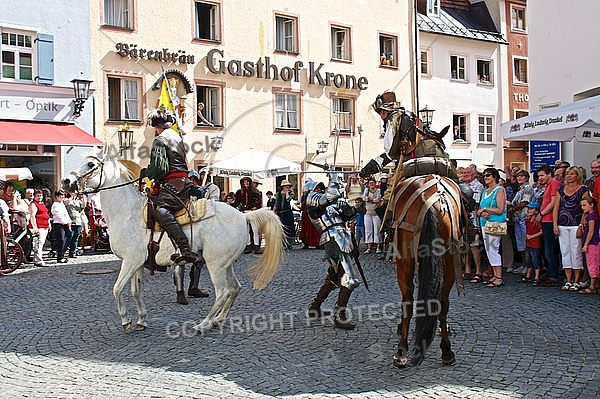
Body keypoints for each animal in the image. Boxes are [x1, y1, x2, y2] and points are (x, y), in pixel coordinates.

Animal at [70, 153, 286, 334]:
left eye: (91, 164)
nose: (67, 181)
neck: (128, 212)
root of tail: (243, 215)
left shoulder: (130, 261)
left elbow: (116, 289)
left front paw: (125, 320)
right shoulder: (136, 263)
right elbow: (135, 291)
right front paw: (141, 319)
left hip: (215, 264)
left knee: (222, 292)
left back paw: (203, 324)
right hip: (225, 264)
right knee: (235, 289)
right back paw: (218, 320)